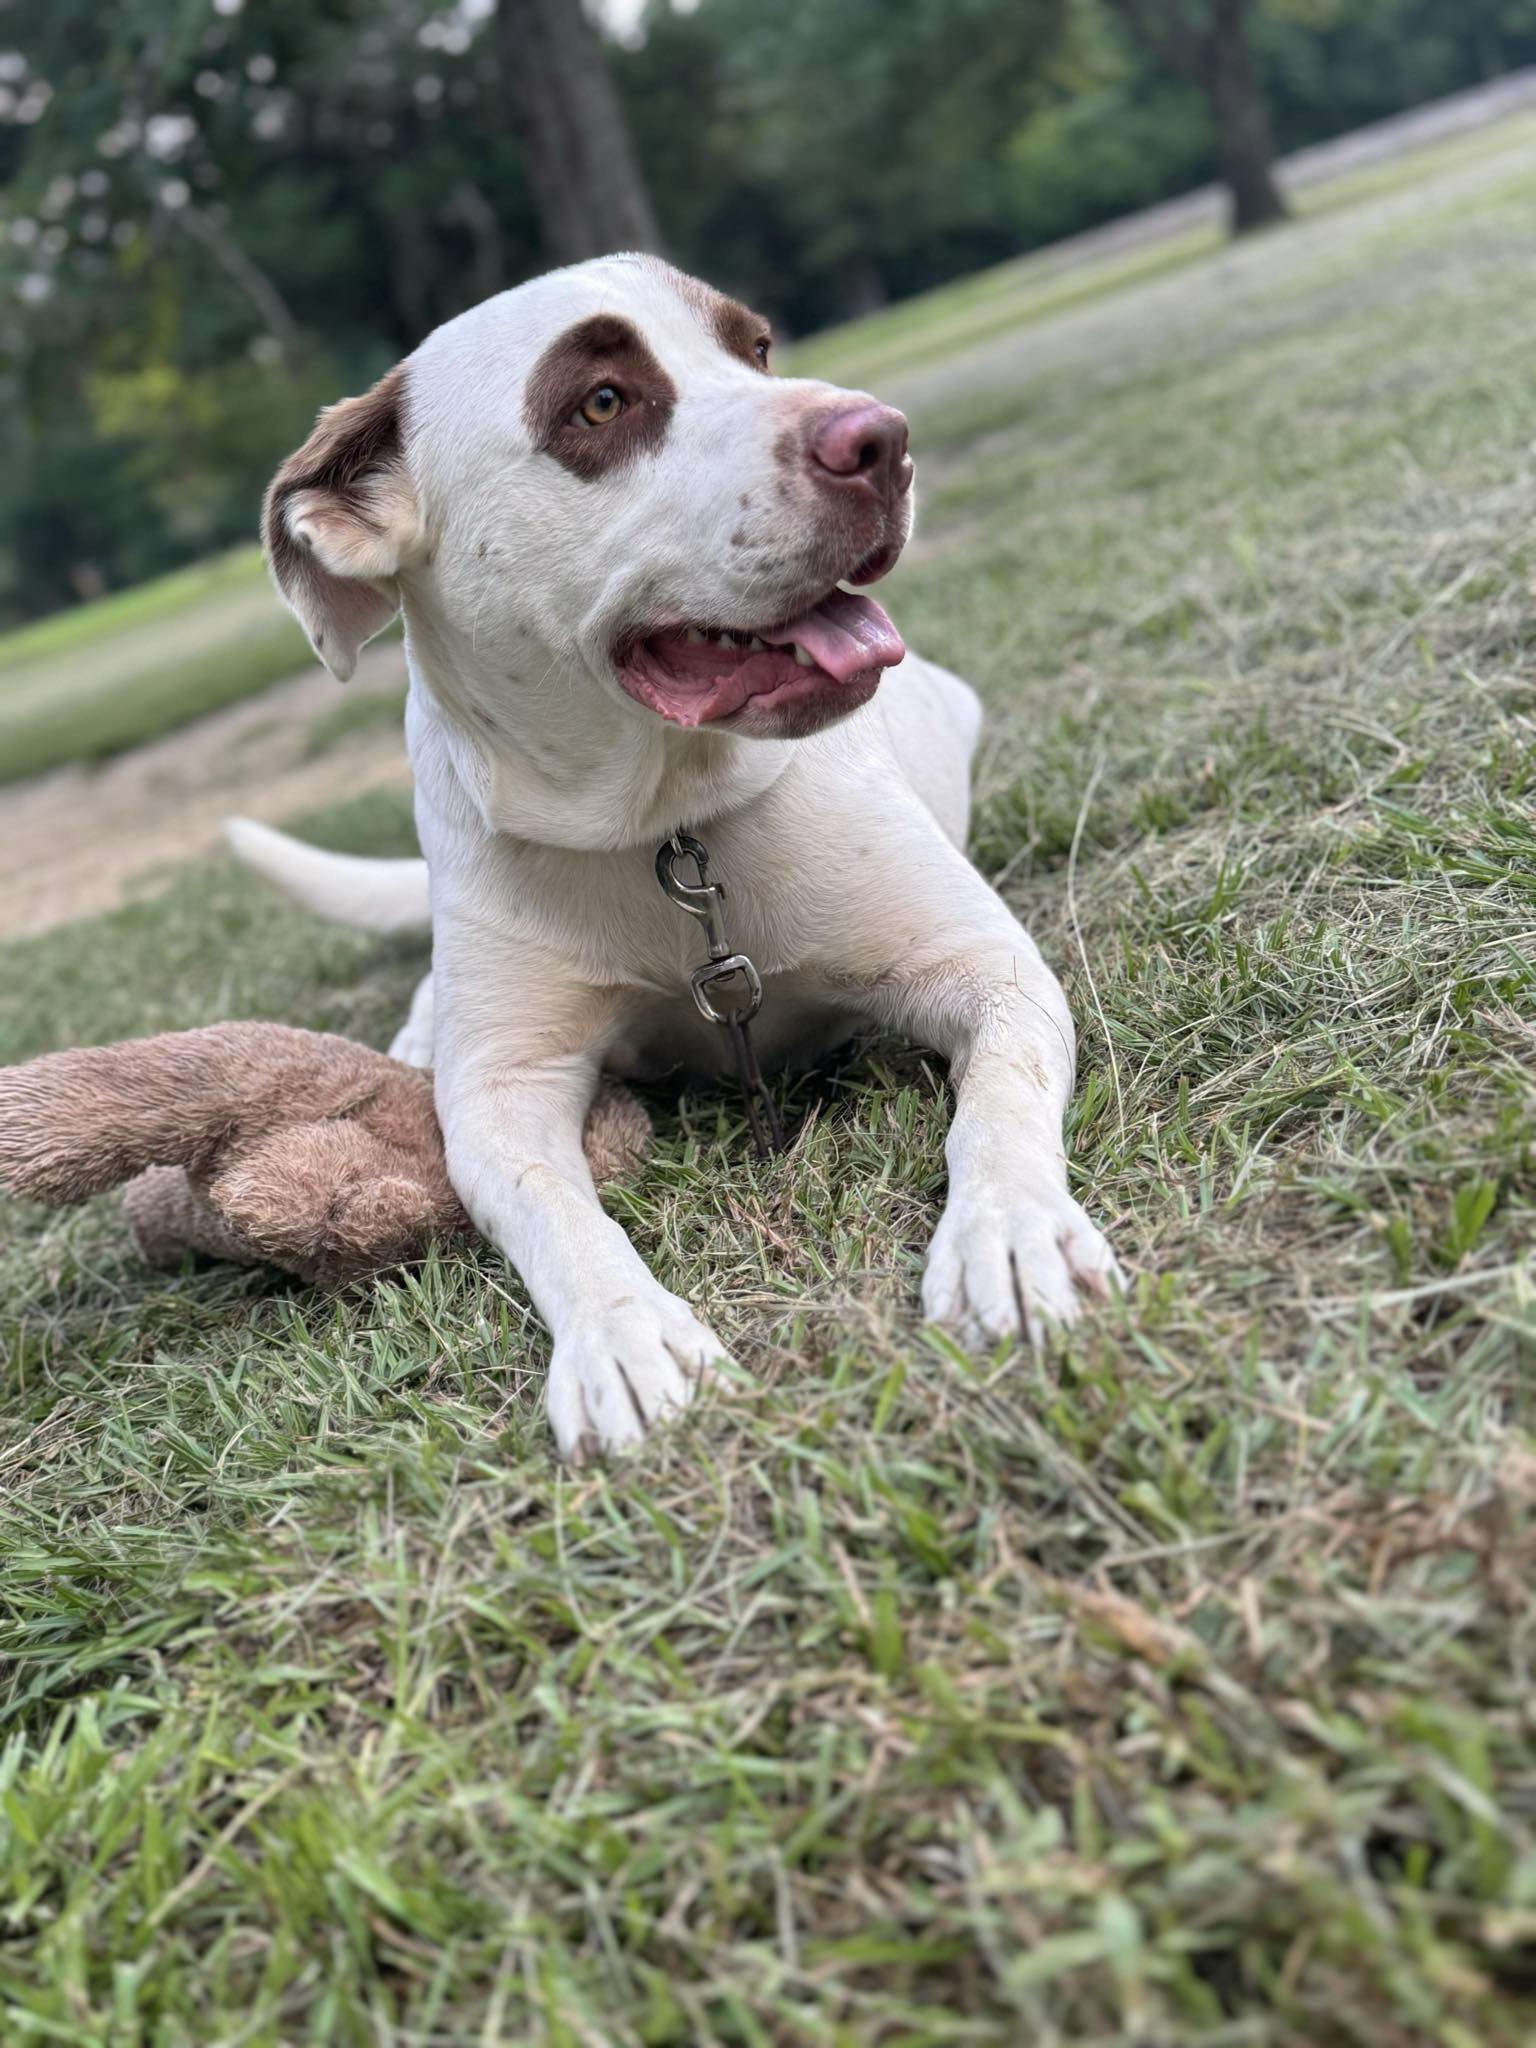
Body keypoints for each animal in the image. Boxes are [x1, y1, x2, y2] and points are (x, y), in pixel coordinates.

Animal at [228, 256, 1122, 1458]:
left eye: (757, 350)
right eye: (601, 404)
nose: (880, 438)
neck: (665, 828)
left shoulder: (992, 973)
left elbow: (998, 1111)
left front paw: (1011, 1234)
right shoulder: (504, 1090)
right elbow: (553, 1211)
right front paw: (622, 1335)